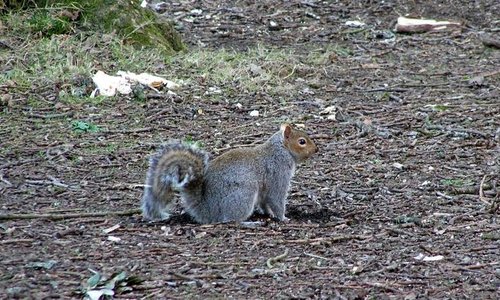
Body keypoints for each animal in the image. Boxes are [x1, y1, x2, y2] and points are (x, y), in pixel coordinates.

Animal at [141, 123, 316, 224]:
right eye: (302, 142)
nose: (316, 149)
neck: (281, 150)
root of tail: (208, 210)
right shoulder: (278, 174)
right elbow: (276, 199)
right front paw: (283, 217)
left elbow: (265, 202)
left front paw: (268, 213)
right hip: (243, 194)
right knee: (230, 220)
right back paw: (248, 222)